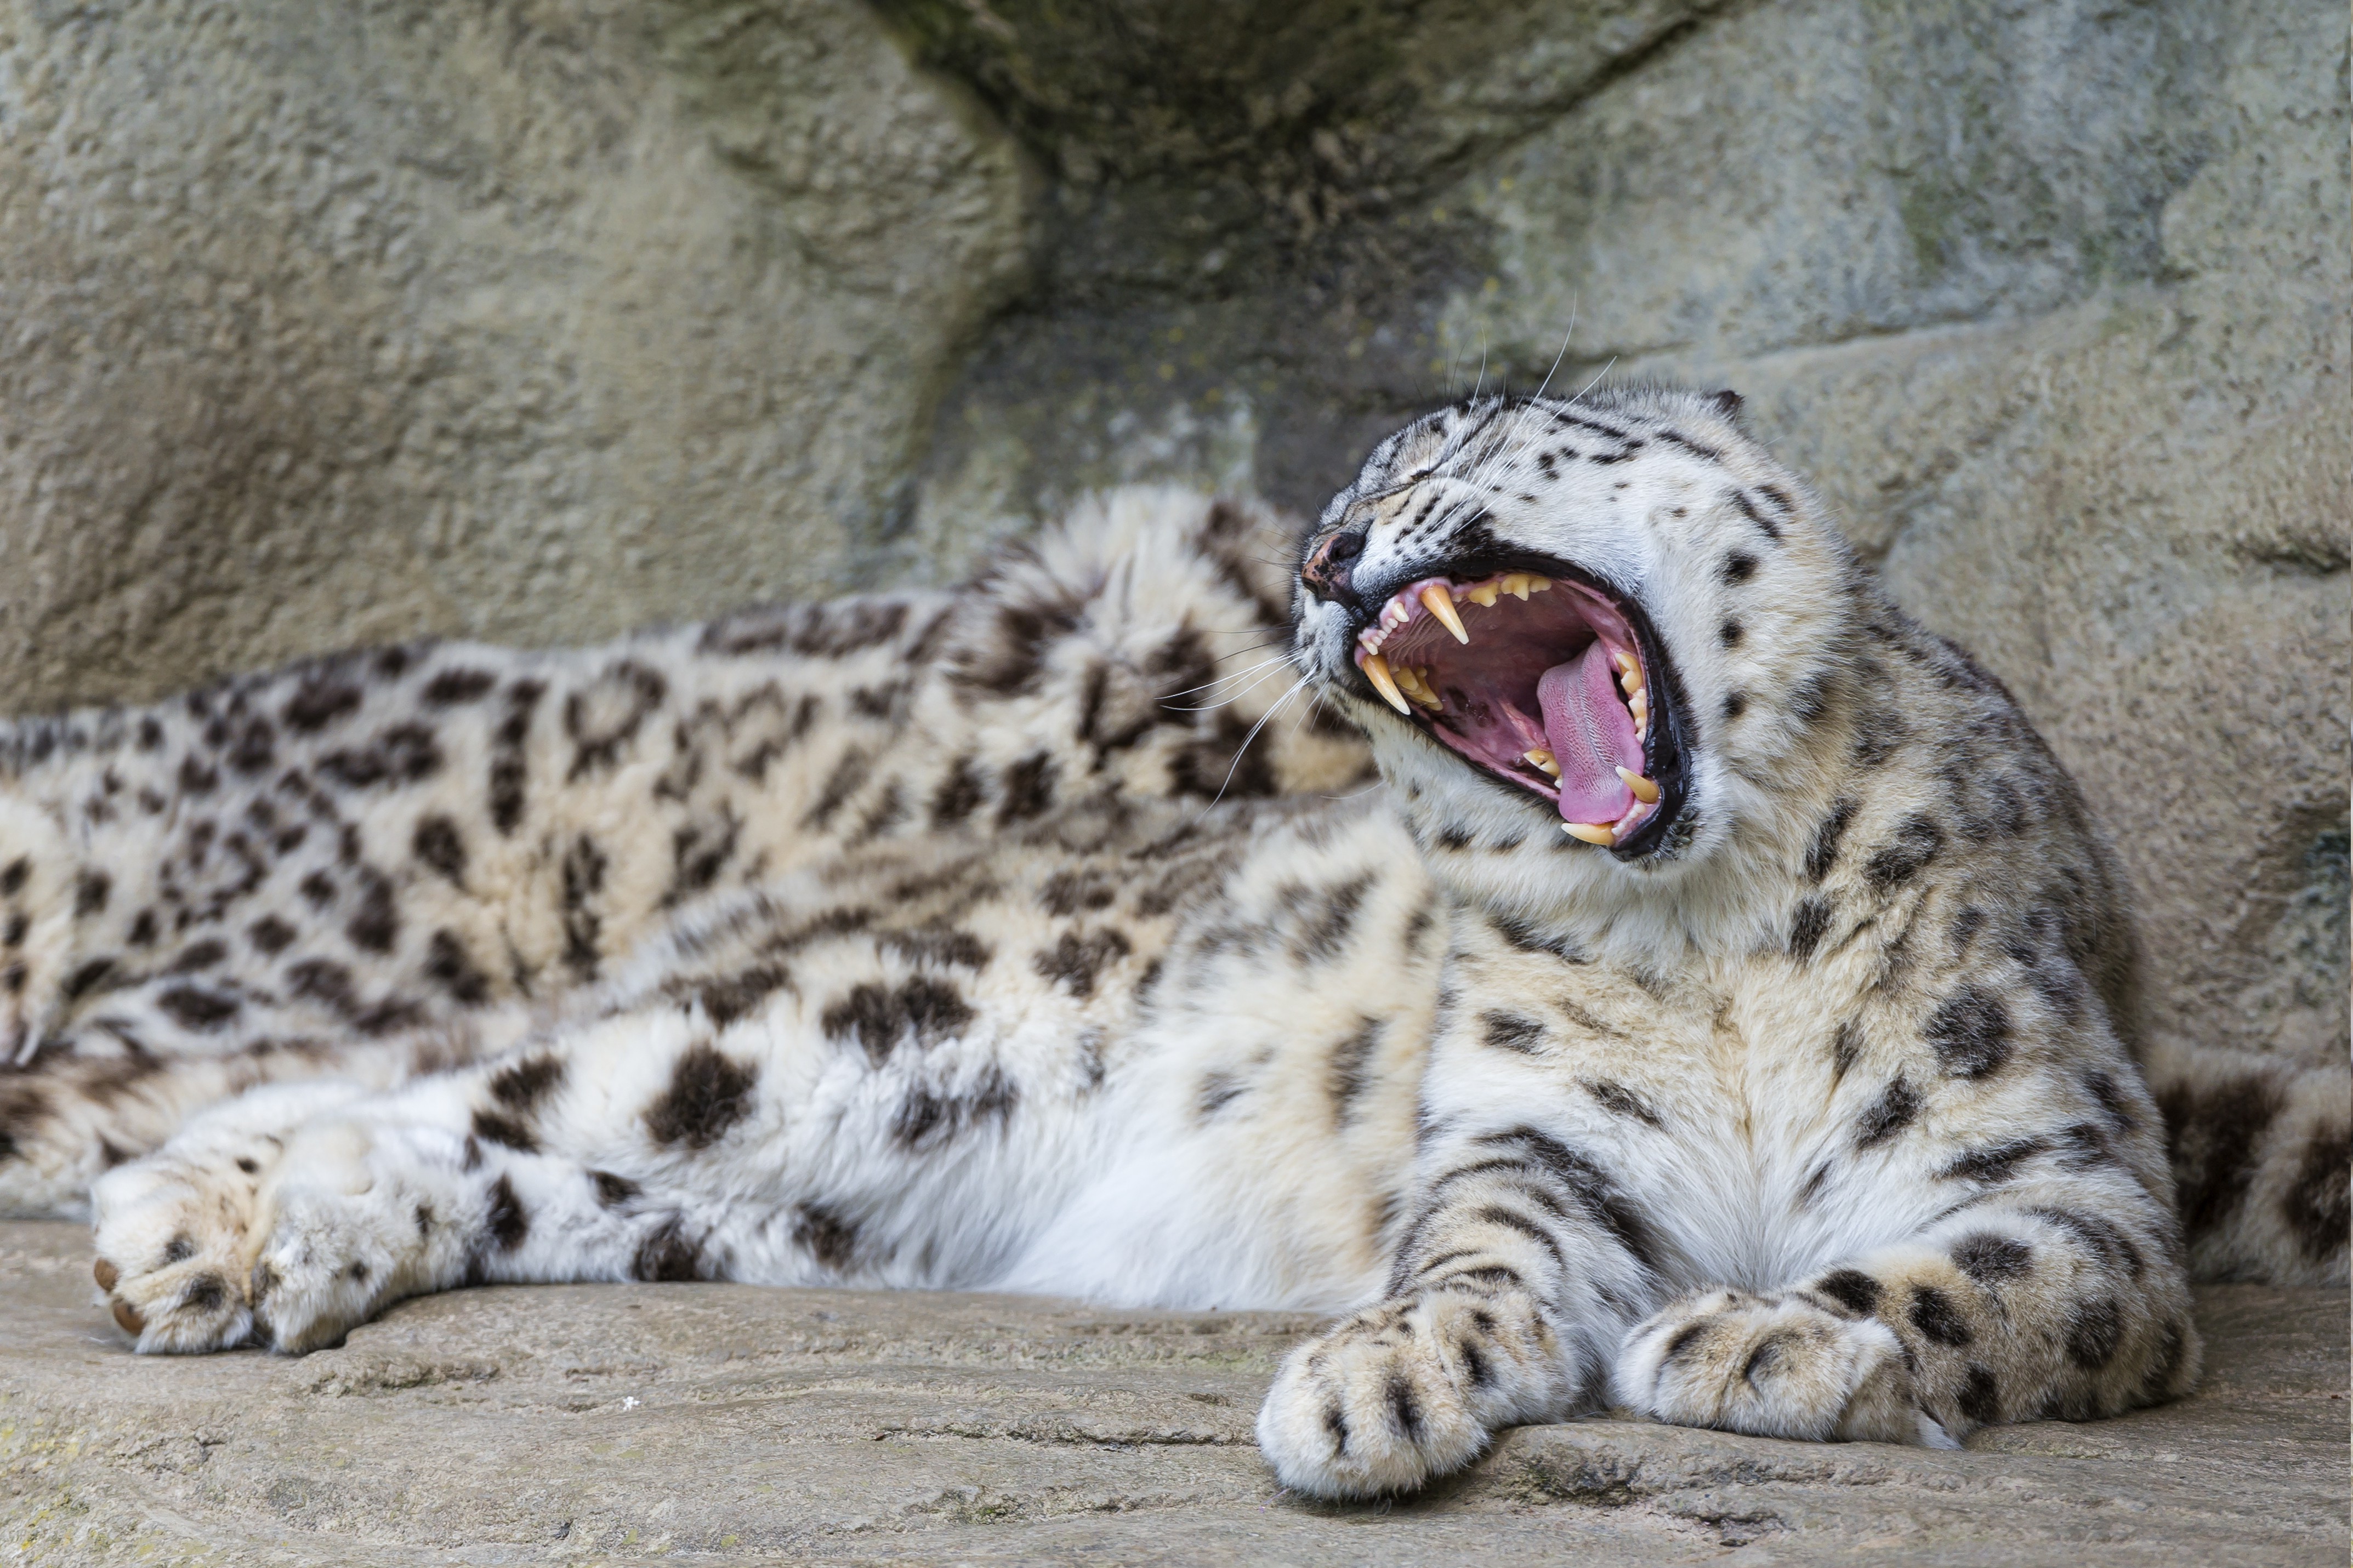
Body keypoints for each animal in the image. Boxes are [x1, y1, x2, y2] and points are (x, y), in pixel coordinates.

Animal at [0, 385, 2324, 1504]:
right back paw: (194, 1225)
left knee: (538, 1170)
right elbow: (1476, 1261)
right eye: (1347, 494)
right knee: (469, 1081)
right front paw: (1391, 1379)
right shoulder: (1528, 1147)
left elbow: (1985, 1283)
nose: (1326, 551)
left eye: (1474, 447)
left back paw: (246, 1243)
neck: (1711, 940)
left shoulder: (2062, 1176)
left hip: (817, 1206)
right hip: (869, 1030)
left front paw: (1760, 1339)